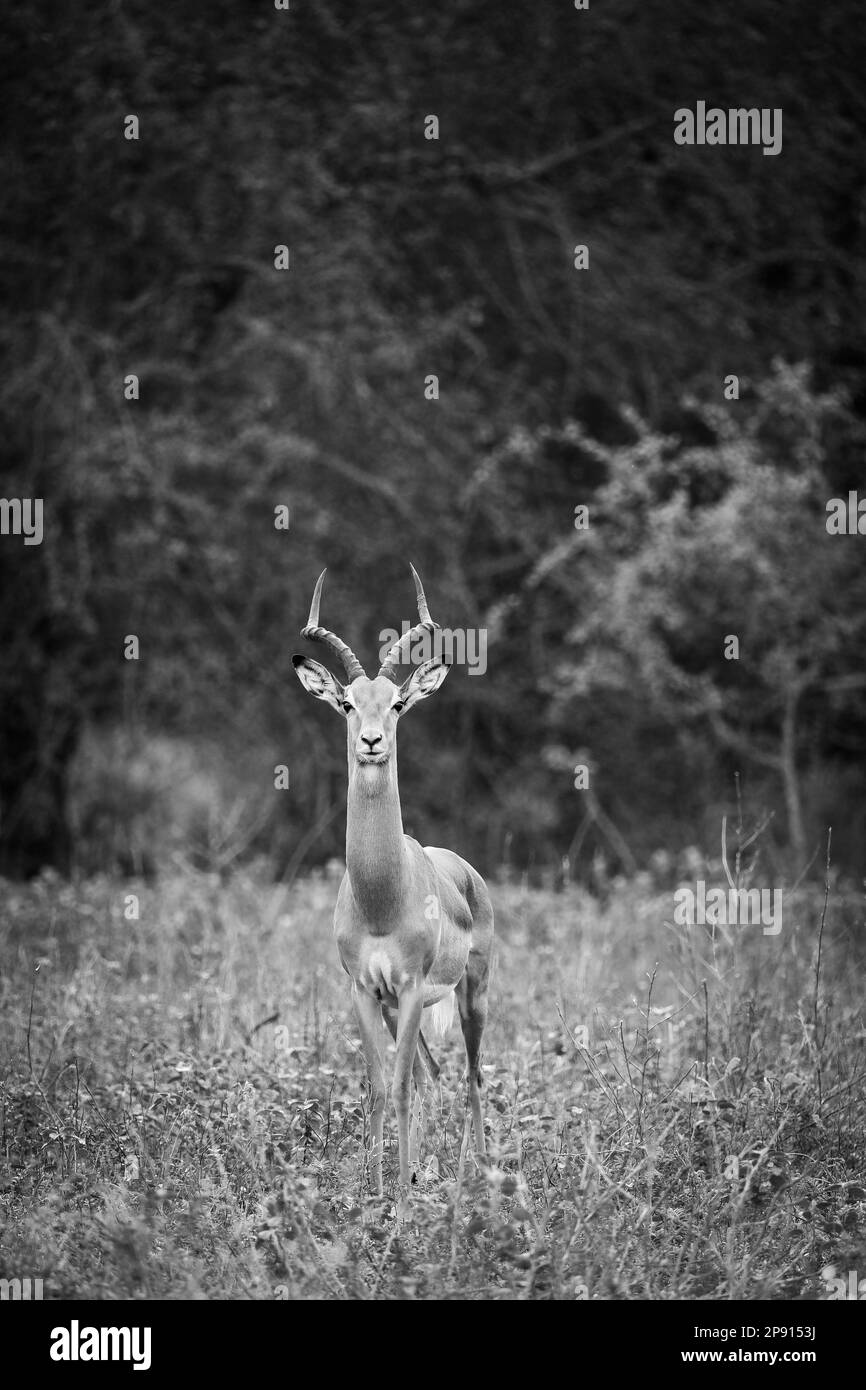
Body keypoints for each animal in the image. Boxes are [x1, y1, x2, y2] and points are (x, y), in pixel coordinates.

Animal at [293, 565, 494, 1197]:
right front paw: (377, 1191)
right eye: (347, 704)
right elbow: (381, 1087)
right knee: (434, 1075)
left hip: (472, 993)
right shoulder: (364, 989)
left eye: (399, 703)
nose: (372, 741)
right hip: (401, 1007)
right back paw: (427, 1172)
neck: (381, 896)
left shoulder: (407, 987)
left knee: (472, 1076)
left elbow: (401, 1088)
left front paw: (401, 1206)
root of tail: (464, 870)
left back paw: (477, 1177)